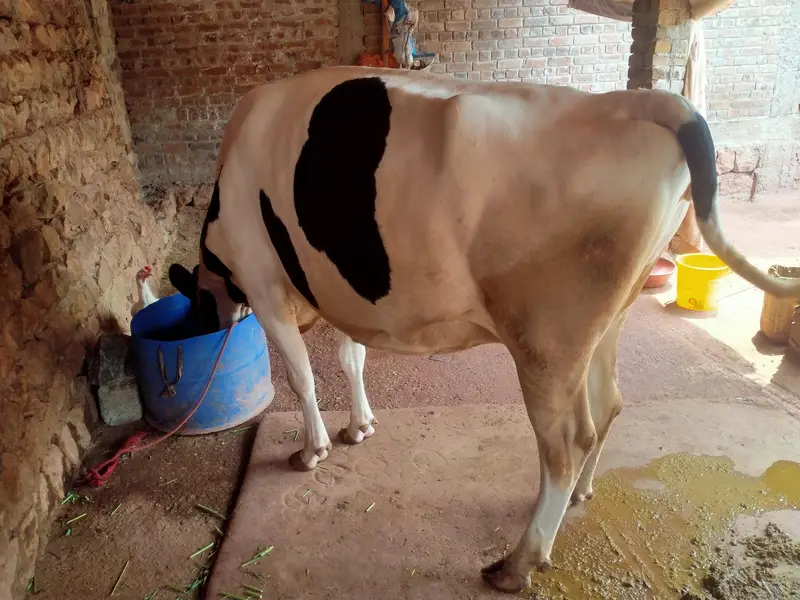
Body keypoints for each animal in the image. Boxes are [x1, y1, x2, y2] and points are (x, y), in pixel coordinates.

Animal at [168, 66, 800, 593]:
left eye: (198, 304)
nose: (207, 321)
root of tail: (643, 100)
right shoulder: (340, 289)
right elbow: (351, 358)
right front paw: (360, 426)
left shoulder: (265, 281)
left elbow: (301, 375)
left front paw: (312, 450)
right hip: (608, 321)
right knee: (608, 406)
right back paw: (580, 495)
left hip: (546, 343)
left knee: (567, 441)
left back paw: (517, 563)